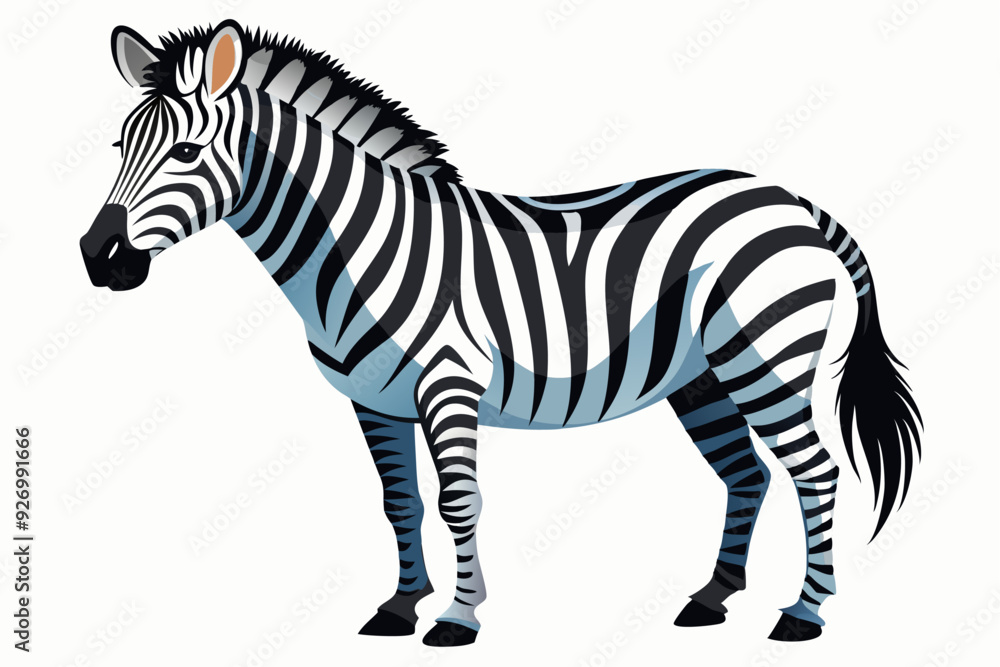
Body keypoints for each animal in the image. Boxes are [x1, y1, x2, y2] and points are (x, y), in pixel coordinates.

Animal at [79, 22, 922, 646]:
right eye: (119, 148)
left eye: (187, 152)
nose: (97, 256)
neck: (354, 249)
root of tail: (790, 200)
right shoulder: (373, 399)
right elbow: (401, 501)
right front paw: (399, 606)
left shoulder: (448, 381)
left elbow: (460, 500)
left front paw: (458, 616)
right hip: (702, 378)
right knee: (746, 473)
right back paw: (711, 598)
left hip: (766, 360)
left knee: (815, 472)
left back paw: (804, 613)